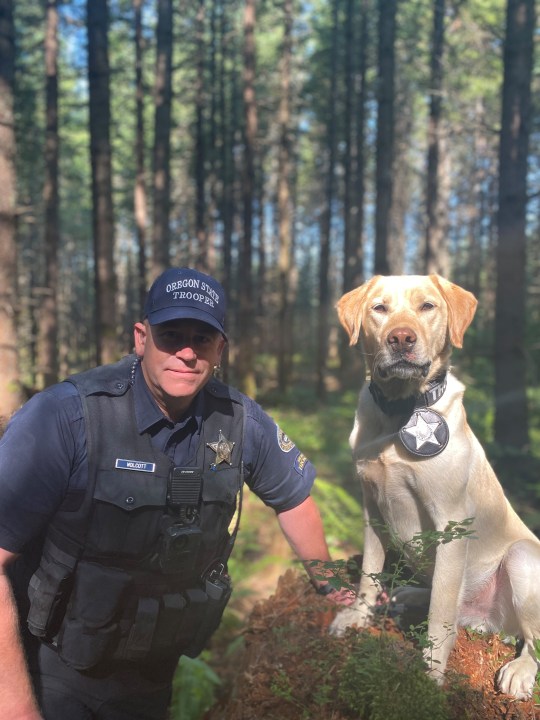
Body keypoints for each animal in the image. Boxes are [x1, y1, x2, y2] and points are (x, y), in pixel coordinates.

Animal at [330, 274, 540, 696]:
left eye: (427, 306)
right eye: (379, 308)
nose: (401, 338)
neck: (400, 411)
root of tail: (492, 623)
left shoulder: (450, 525)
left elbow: (441, 612)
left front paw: (428, 675)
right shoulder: (372, 509)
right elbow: (368, 574)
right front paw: (357, 616)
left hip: (523, 556)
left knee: (531, 638)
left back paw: (521, 669)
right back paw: (407, 594)